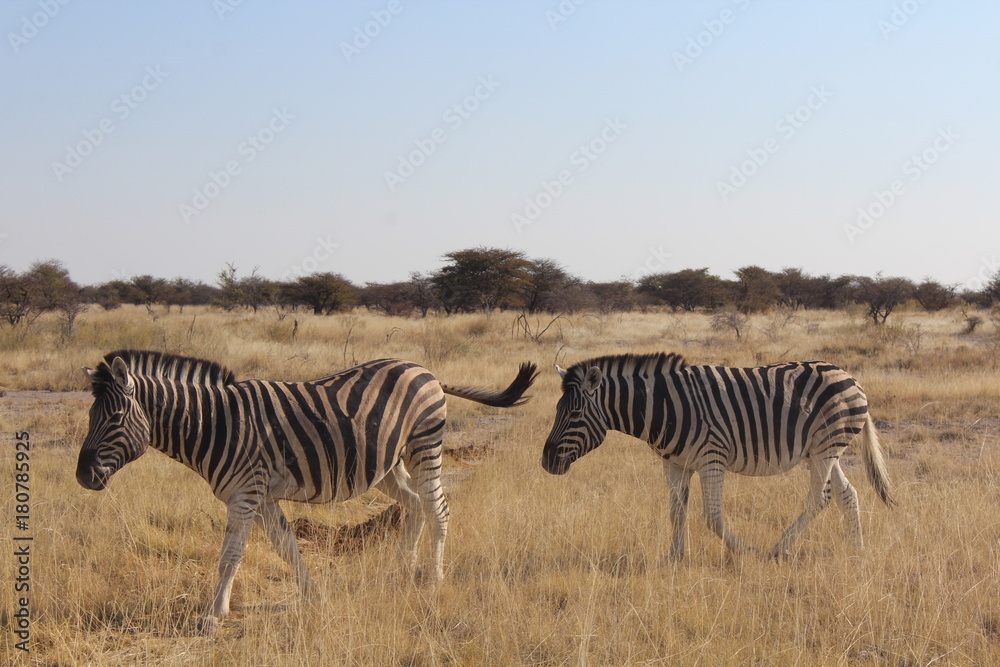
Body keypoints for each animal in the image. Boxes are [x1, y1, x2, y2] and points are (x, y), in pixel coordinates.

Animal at [76, 350, 537, 633]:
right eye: (90, 415)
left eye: (113, 417)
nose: (82, 476)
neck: (214, 425)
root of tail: (427, 371)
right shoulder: (261, 495)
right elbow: (286, 546)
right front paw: (313, 596)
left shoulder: (246, 493)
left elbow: (230, 555)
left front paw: (212, 615)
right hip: (388, 463)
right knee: (413, 505)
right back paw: (402, 568)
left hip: (424, 445)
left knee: (437, 508)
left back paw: (434, 579)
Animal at [540, 352, 894, 560]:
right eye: (557, 410)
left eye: (574, 414)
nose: (546, 462)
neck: (663, 408)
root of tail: (850, 376)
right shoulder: (674, 463)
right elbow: (676, 512)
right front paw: (674, 559)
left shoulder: (712, 459)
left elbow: (711, 517)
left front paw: (747, 552)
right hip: (821, 450)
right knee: (846, 493)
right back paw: (856, 550)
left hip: (827, 445)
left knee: (819, 497)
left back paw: (777, 550)